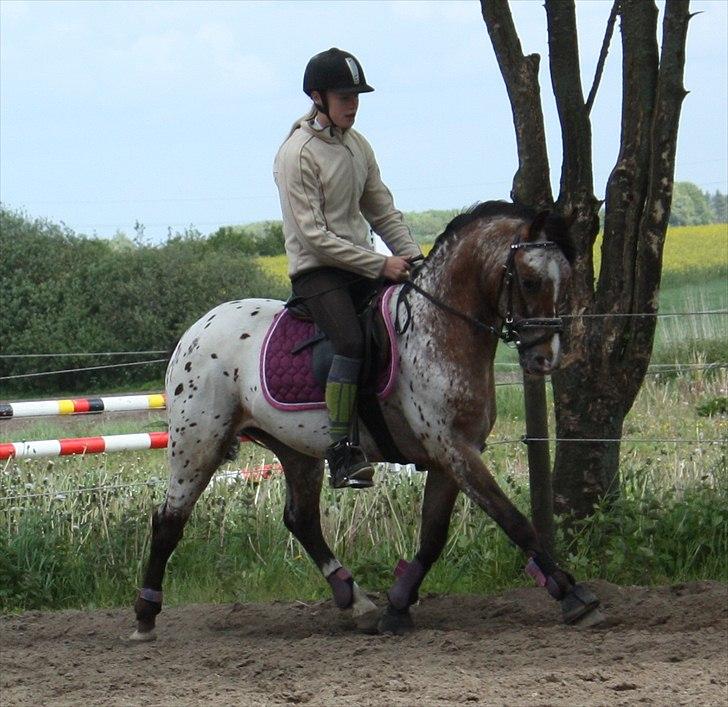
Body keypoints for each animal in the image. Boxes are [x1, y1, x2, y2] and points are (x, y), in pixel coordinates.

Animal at [131, 201, 604, 640]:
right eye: (530, 280)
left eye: (566, 280)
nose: (545, 359)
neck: (439, 327)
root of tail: (196, 330)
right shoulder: (453, 449)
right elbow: (513, 519)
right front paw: (575, 596)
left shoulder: (451, 455)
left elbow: (433, 536)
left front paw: (398, 605)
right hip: (198, 443)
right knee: (169, 520)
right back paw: (145, 616)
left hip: (296, 449)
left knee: (301, 520)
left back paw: (355, 601)